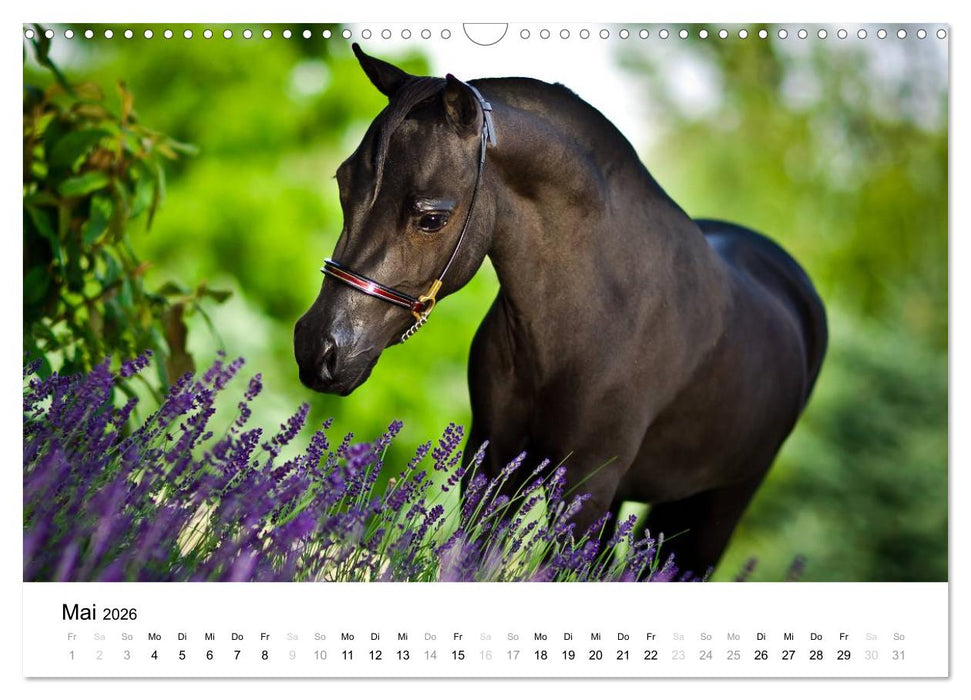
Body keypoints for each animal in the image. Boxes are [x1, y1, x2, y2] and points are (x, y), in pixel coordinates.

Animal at [294, 45, 828, 576]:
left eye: (431, 218)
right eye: (343, 184)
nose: (316, 348)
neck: (593, 315)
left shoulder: (585, 486)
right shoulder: (495, 461)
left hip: (715, 510)